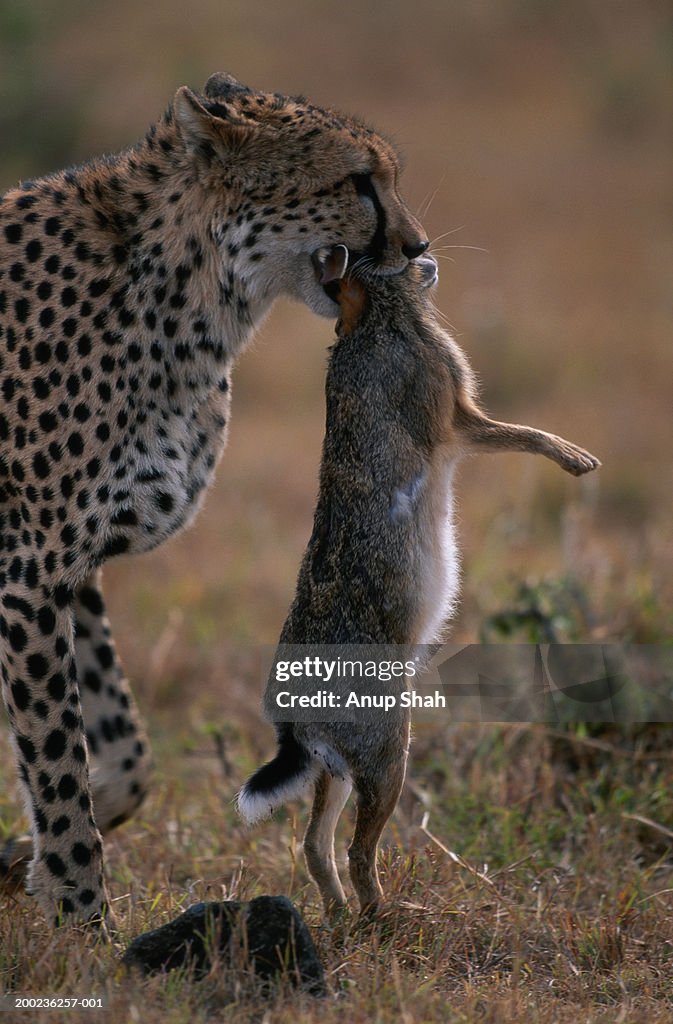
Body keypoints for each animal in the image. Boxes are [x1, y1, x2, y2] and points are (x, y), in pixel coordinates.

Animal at [0, 68, 428, 925]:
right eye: (357, 181)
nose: (418, 247)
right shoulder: (30, 566)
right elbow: (57, 755)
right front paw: (83, 920)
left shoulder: (71, 567)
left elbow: (121, 750)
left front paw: (26, 857)